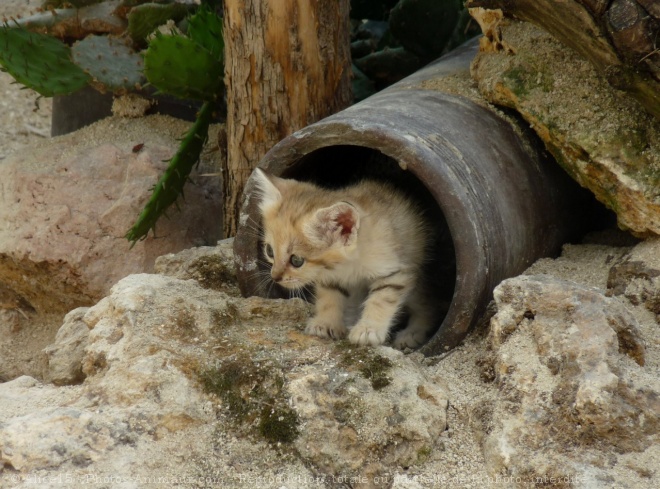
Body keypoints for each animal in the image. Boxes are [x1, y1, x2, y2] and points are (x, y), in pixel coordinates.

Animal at [253, 170, 438, 348]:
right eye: (270, 251)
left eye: (296, 260)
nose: (275, 277)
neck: (347, 265)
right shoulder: (329, 277)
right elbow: (329, 298)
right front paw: (326, 323)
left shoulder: (395, 271)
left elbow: (381, 300)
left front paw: (368, 329)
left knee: (427, 306)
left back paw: (412, 334)